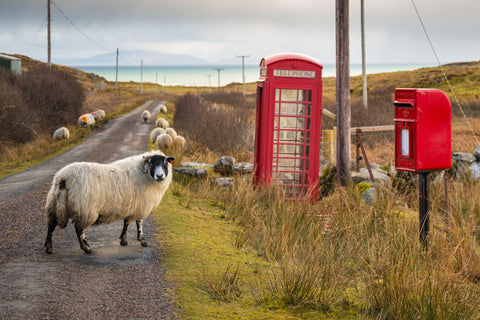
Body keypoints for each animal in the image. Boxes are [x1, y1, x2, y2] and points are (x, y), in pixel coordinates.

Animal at [44, 151, 175, 255]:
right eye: (151, 163)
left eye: (165, 162)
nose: (160, 176)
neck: (144, 173)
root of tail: (63, 178)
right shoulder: (141, 205)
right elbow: (139, 223)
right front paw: (142, 240)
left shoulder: (130, 205)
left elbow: (126, 222)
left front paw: (123, 240)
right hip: (84, 208)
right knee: (79, 229)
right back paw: (87, 248)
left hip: (54, 203)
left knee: (51, 224)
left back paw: (49, 247)